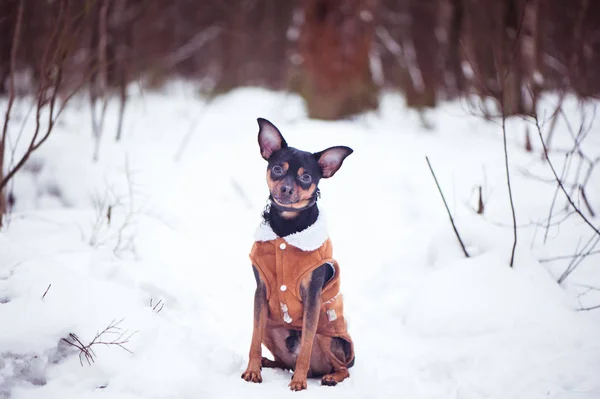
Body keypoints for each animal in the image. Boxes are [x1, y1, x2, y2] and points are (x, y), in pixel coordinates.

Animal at [240, 118, 354, 390]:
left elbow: (306, 347)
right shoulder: (260, 294)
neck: (287, 228)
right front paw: (252, 370)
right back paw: (268, 363)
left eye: (306, 176)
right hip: (271, 327)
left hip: (327, 336)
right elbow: (253, 339)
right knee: (281, 359)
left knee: (341, 367)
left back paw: (328, 376)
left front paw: (298, 383)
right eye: (277, 169)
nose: (286, 189)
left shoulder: (312, 298)